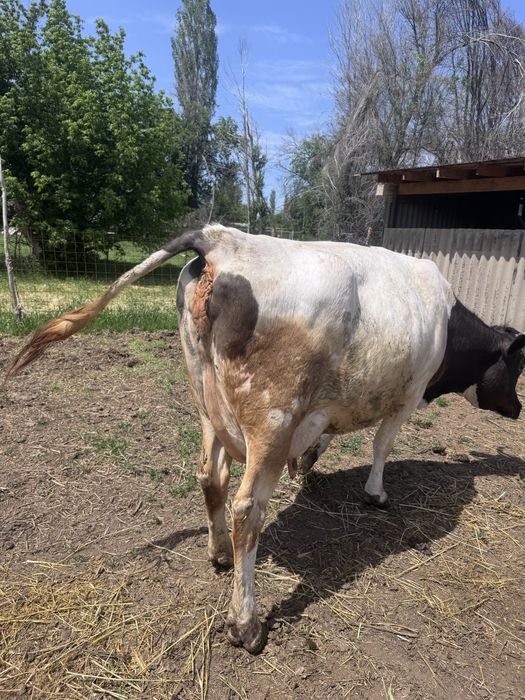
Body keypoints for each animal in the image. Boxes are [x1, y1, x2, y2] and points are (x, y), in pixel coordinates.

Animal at [6, 224, 525, 654]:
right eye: (517, 367)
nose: (518, 410)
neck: (445, 318)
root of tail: (222, 237)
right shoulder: (407, 395)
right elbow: (382, 446)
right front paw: (375, 494)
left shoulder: (326, 408)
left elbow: (325, 441)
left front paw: (309, 469)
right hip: (272, 417)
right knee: (246, 508)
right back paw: (246, 622)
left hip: (206, 399)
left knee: (209, 476)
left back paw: (217, 553)